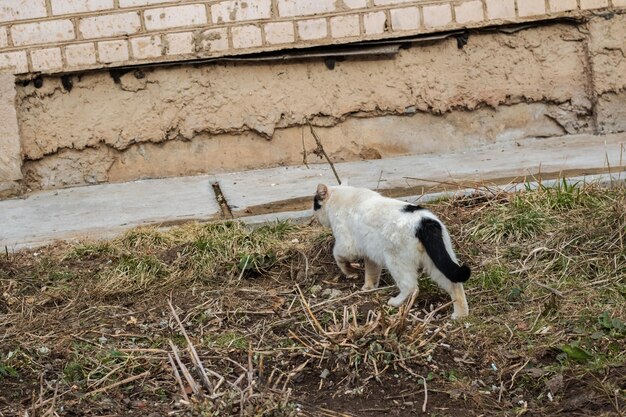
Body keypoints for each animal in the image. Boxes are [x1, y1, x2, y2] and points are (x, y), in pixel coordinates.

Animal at [312, 184, 468, 316]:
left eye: (315, 205)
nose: (316, 219)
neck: (341, 196)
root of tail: (424, 222)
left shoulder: (347, 246)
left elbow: (338, 256)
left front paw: (350, 272)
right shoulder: (370, 255)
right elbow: (371, 273)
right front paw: (368, 287)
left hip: (396, 262)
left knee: (411, 287)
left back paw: (396, 302)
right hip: (438, 261)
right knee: (455, 286)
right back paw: (460, 315)